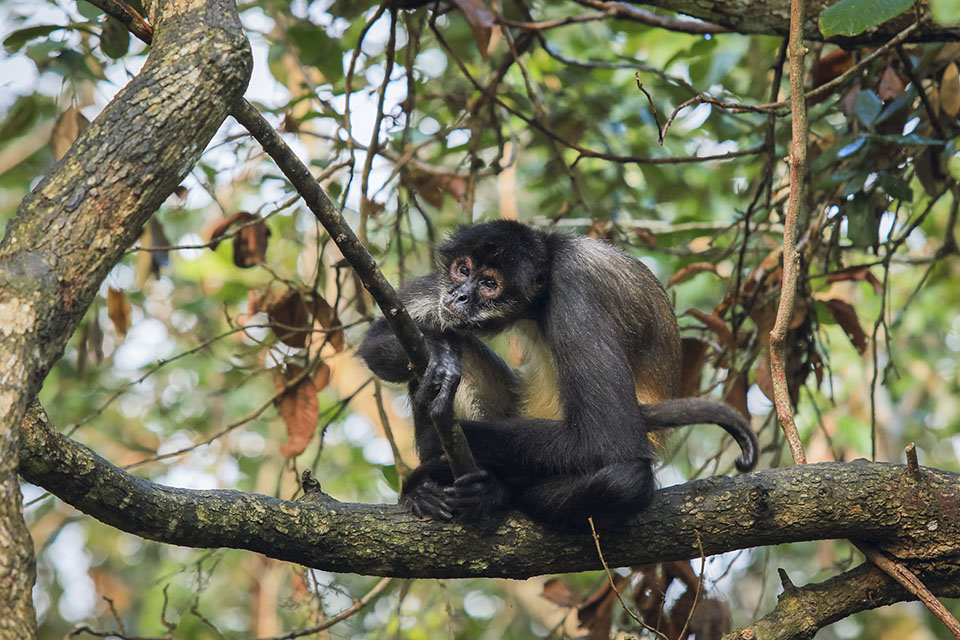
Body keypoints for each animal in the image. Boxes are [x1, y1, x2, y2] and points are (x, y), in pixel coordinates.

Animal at [358, 220, 757, 525]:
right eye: (463, 269)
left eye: (489, 284)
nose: (459, 297)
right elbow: (380, 337)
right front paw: (440, 357)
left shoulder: (573, 285)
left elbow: (605, 439)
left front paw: (441, 452)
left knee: (624, 479)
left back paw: (494, 491)